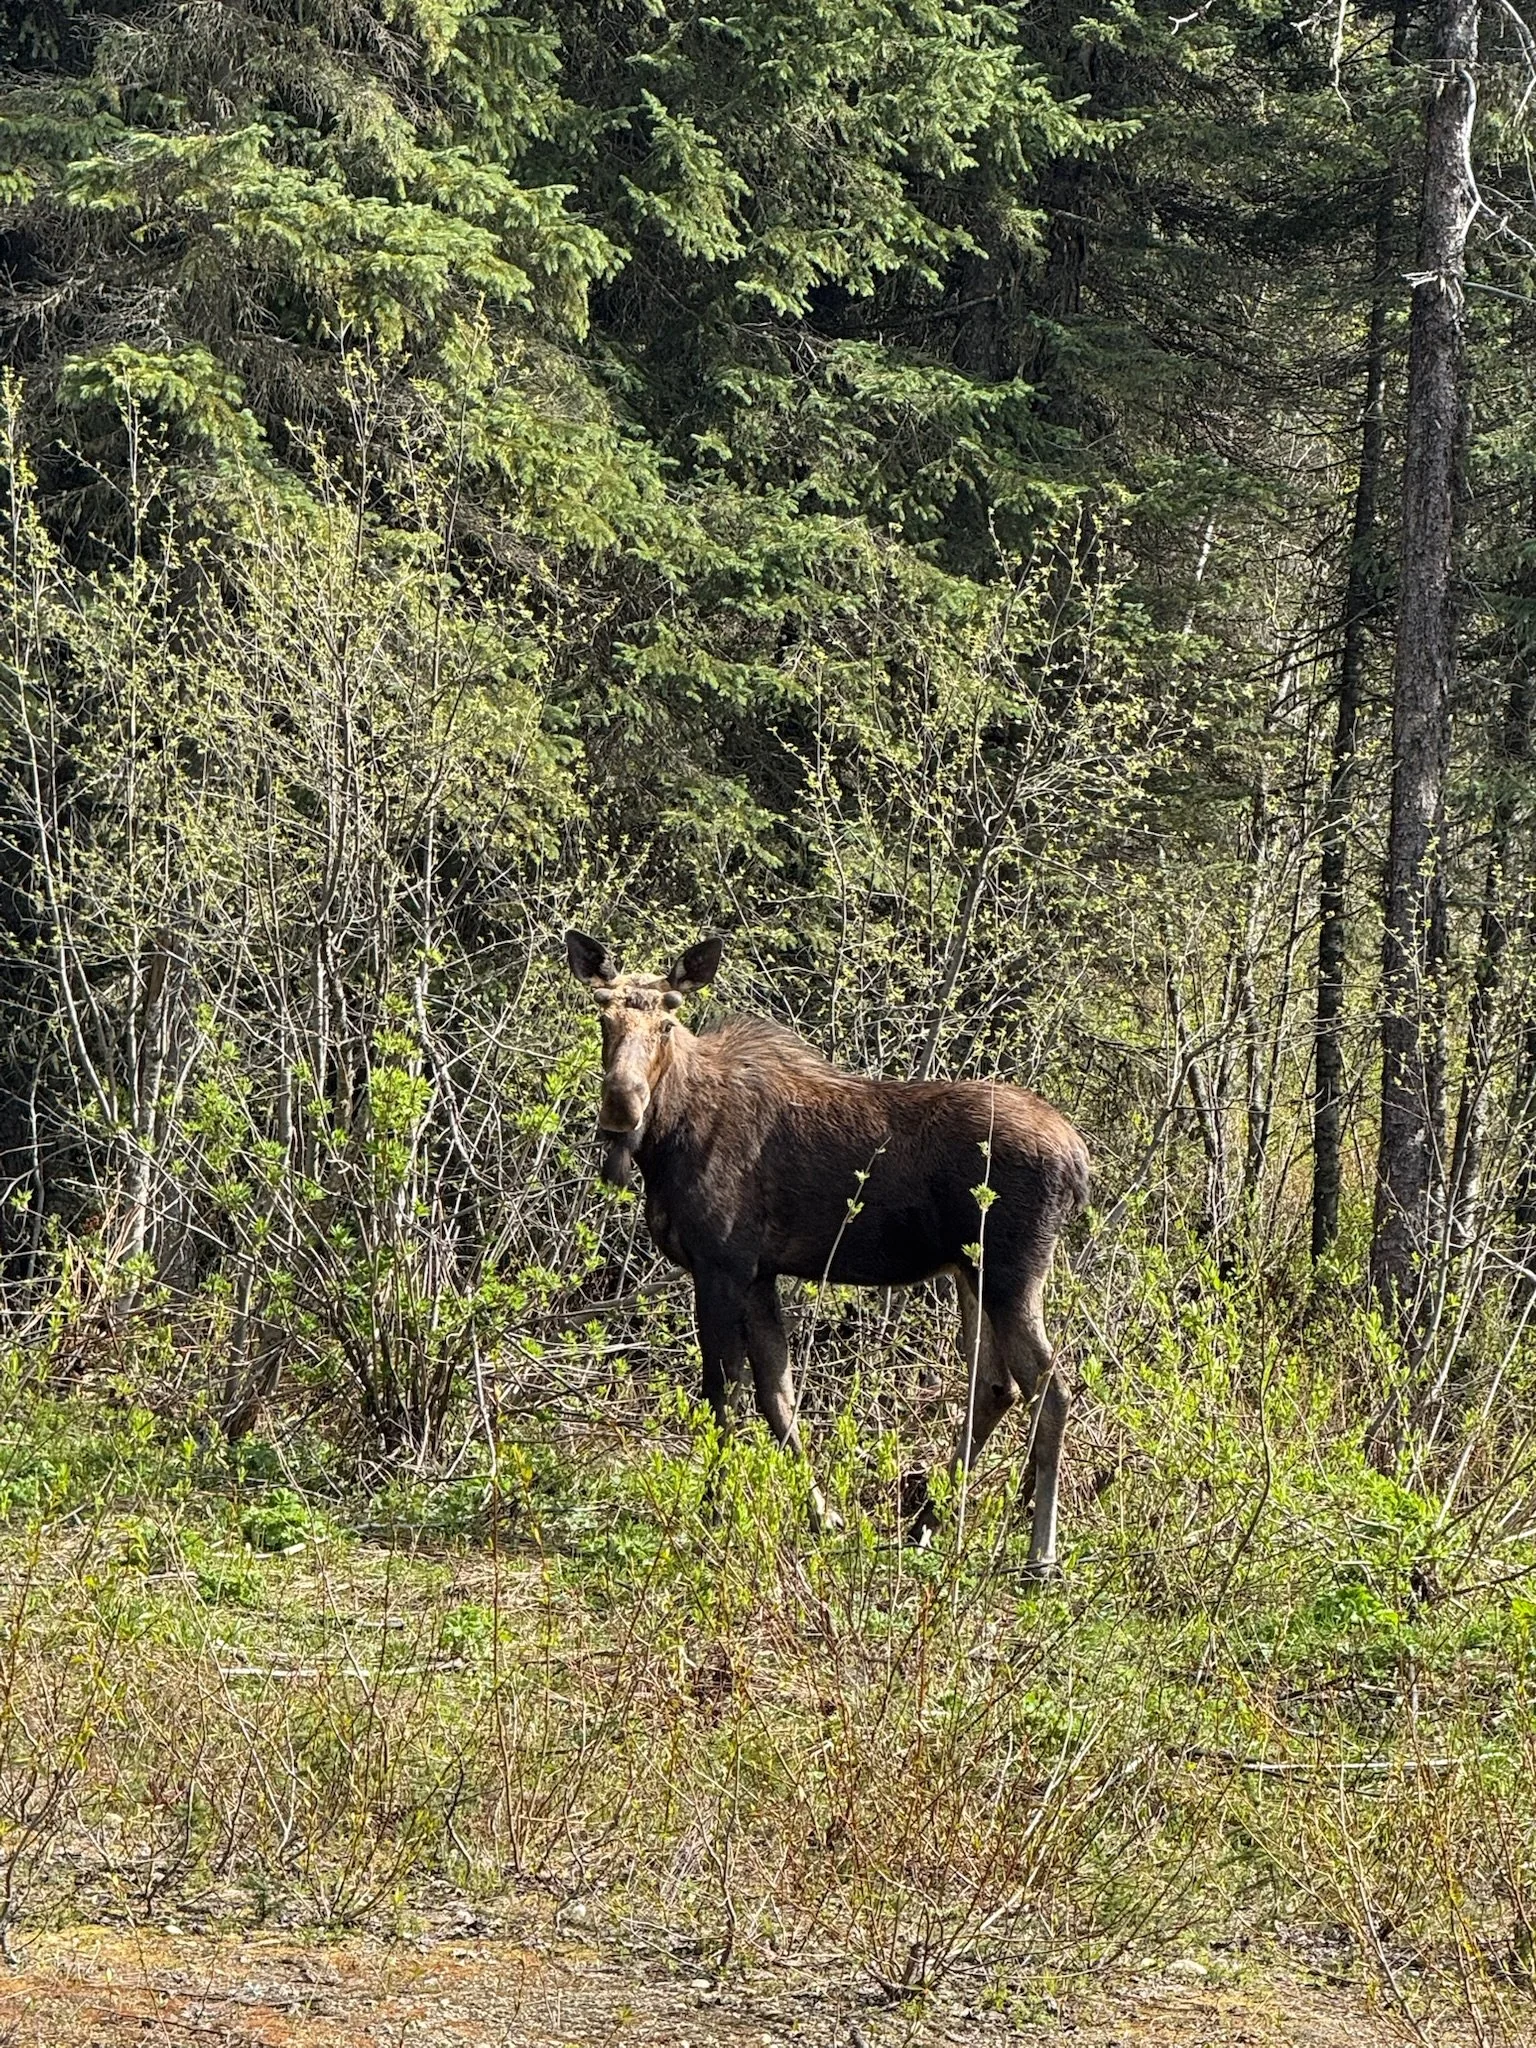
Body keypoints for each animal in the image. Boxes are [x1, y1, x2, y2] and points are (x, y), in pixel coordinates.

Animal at [565, 930, 1090, 1572]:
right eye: (602, 1016)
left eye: (668, 1019)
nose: (622, 1105)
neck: (664, 1145)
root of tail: (1079, 1162)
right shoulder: (758, 1273)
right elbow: (776, 1394)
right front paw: (824, 1515)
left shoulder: (721, 1265)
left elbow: (723, 1392)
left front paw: (711, 1514)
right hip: (972, 1273)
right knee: (995, 1385)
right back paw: (926, 1522)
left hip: (1013, 1272)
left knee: (1051, 1388)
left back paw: (1040, 1555)